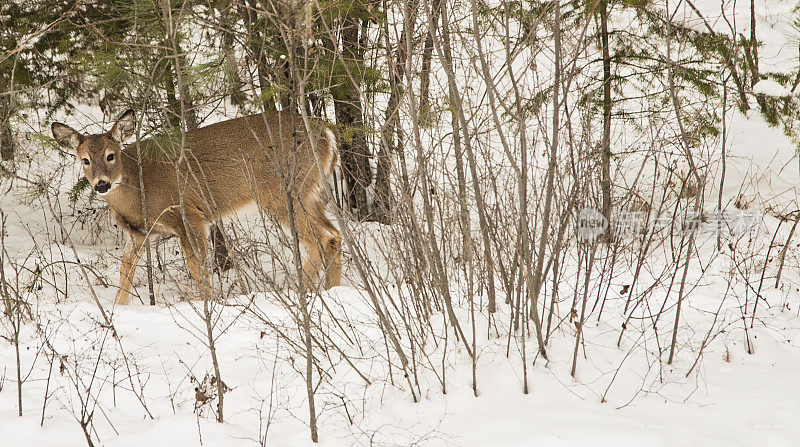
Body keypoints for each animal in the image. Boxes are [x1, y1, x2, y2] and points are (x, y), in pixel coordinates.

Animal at [49, 109, 344, 304]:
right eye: (85, 160)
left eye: (111, 155)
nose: (102, 184)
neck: (139, 187)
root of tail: (327, 132)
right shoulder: (138, 233)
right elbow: (125, 275)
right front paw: (117, 312)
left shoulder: (188, 216)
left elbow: (198, 268)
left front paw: (209, 305)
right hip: (310, 192)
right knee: (334, 235)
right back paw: (332, 290)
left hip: (283, 191)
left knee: (321, 237)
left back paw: (302, 291)